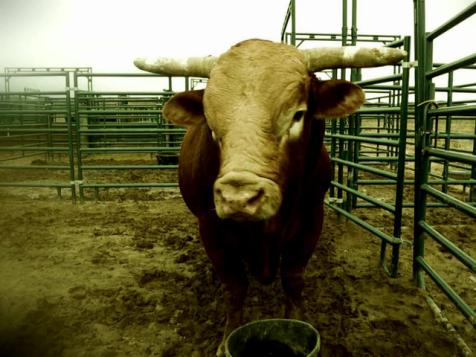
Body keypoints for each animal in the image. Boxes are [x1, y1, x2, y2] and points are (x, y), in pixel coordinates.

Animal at [135, 39, 406, 354]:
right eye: (211, 125)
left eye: (298, 115)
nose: (238, 197)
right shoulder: (210, 227)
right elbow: (235, 285)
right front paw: (227, 337)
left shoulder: (312, 219)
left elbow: (292, 279)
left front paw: (296, 322)